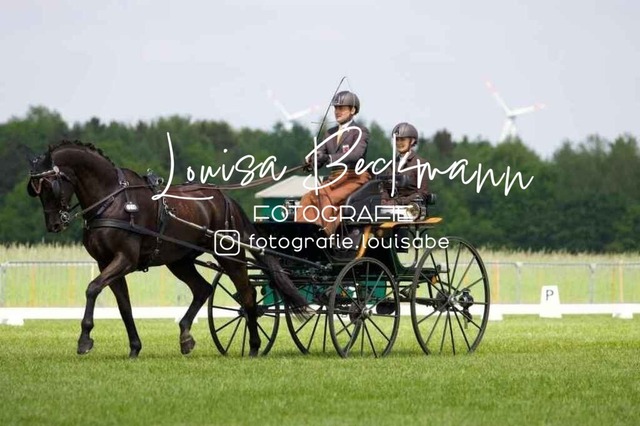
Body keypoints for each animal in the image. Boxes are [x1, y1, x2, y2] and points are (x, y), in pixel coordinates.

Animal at [26, 140, 309, 358]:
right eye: (35, 190)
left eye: (49, 186)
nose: (54, 224)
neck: (112, 201)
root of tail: (225, 198)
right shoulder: (106, 263)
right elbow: (124, 305)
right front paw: (134, 347)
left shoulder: (124, 259)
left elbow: (93, 288)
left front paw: (84, 339)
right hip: (179, 260)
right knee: (203, 289)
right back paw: (186, 336)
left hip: (229, 254)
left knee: (247, 294)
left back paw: (253, 346)